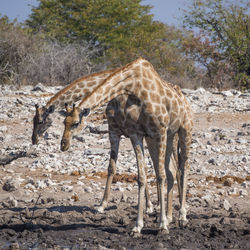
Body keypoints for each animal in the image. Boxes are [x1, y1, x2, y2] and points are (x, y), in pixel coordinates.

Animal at [31, 67, 155, 213]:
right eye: (63, 122)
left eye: (40, 121)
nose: (33, 139)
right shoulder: (115, 131)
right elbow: (112, 167)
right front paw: (103, 204)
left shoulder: (133, 133)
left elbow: (142, 167)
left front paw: (149, 206)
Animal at [60, 57, 193, 235]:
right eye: (64, 122)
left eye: (75, 123)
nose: (63, 145)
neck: (134, 87)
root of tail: (184, 99)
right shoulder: (136, 134)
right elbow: (141, 176)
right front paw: (138, 226)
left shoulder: (159, 131)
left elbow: (160, 176)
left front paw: (162, 225)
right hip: (168, 136)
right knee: (172, 170)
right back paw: (170, 216)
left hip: (184, 131)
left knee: (183, 168)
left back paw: (182, 217)